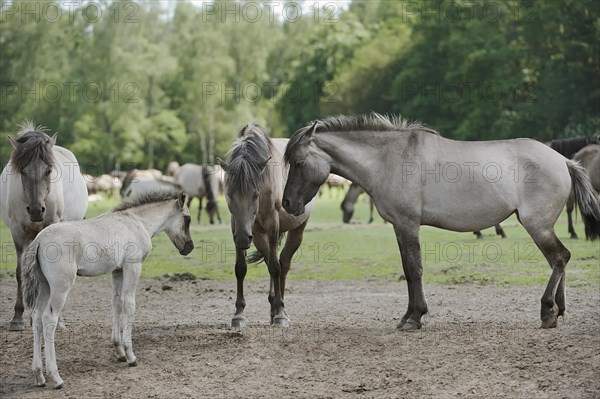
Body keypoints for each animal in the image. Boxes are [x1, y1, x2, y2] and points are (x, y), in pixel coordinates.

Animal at [0, 123, 88, 332]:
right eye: (23, 172)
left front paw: (56, 319)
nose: (36, 210)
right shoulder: (18, 233)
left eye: (48, 171)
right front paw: (17, 318)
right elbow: (20, 272)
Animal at [20, 192, 195, 390]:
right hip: (60, 286)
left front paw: (119, 351)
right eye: (187, 219)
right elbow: (129, 305)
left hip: (44, 286)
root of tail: (39, 240)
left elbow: (116, 304)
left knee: (36, 318)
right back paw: (56, 378)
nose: (189, 247)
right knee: (49, 319)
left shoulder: (117, 271)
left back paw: (39, 375)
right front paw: (130, 355)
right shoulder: (133, 266)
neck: (137, 221)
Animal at [219, 124, 314, 328]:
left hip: (296, 230)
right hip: (258, 235)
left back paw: (281, 309)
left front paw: (280, 315)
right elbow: (241, 268)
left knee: (282, 264)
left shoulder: (272, 224)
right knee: (271, 259)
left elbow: (276, 268)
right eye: (229, 194)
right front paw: (238, 314)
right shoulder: (238, 227)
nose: (242, 238)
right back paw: (273, 308)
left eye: (256, 194)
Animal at [282, 112, 600, 332]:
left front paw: (415, 317)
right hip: (540, 226)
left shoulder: (408, 224)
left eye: (298, 163)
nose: (287, 204)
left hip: (537, 225)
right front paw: (409, 316)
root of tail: (564, 161)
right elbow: (408, 270)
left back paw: (547, 311)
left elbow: (415, 269)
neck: (389, 159)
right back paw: (558, 311)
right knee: (558, 260)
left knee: (560, 257)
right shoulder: (399, 227)